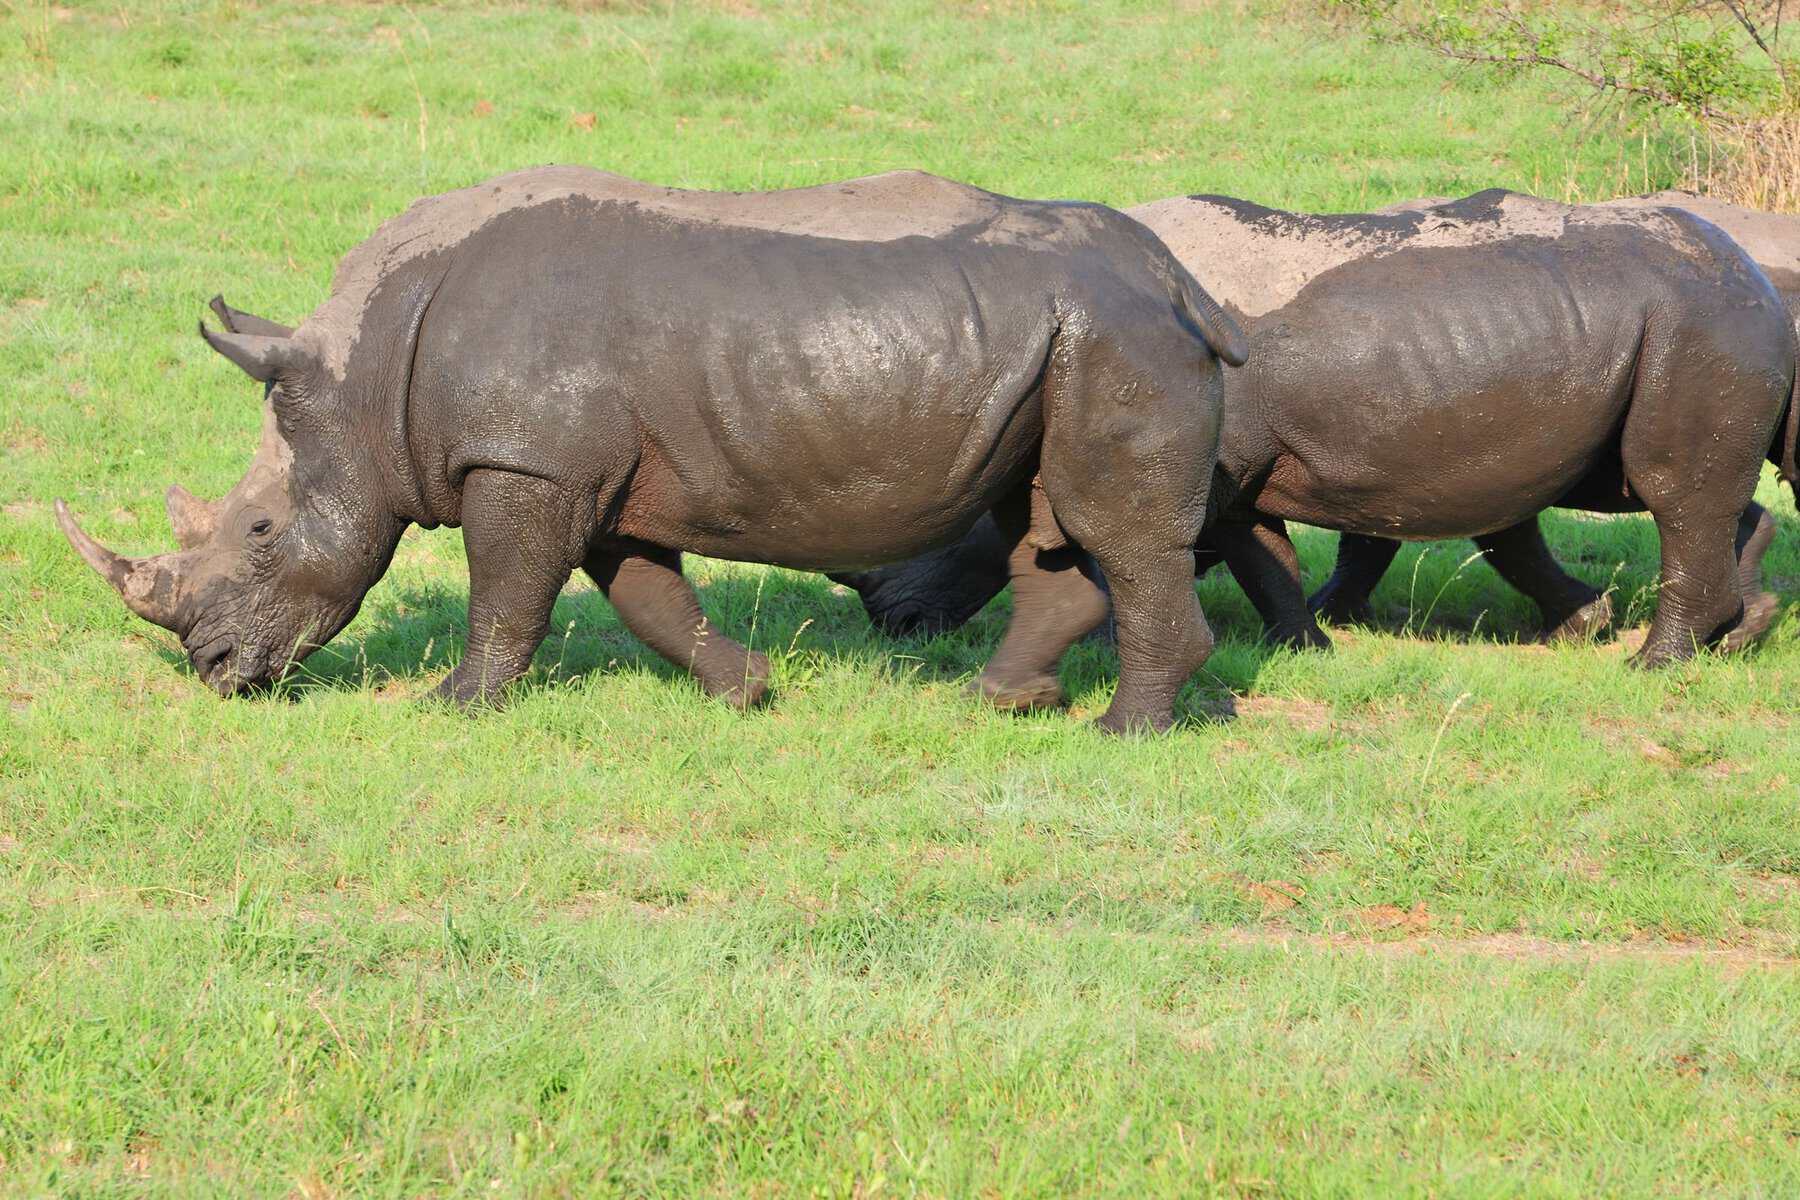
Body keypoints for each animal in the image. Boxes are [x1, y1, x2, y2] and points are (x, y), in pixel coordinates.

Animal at [56, 167, 1250, 733]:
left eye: (261, 531)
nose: (215, 671)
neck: (365, 374)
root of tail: (1177, 278)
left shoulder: (523, 462)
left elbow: (507, 595)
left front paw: (452, 706)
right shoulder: (584, 472)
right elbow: (645, 596)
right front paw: (748, 691)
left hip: (1115, 338)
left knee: (1110, 526)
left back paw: (1122, 733)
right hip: (1067, 341)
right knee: (1047, 522)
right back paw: (999, 704)